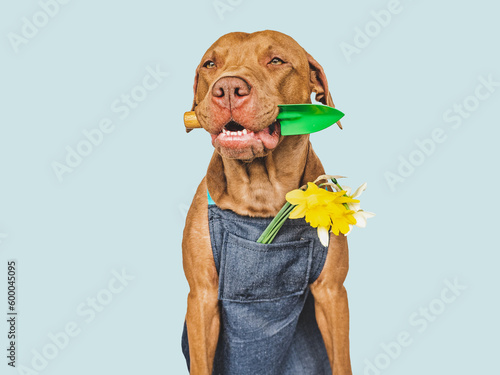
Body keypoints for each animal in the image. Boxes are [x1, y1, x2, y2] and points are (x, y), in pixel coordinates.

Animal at [184, 30, 352, 375]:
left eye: (276, 60)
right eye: (210, 64)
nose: (227, 88)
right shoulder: (202, 299)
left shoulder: (332, 293)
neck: (261, 193)